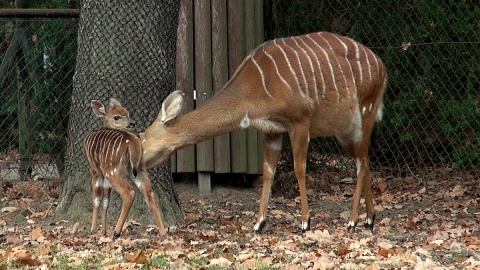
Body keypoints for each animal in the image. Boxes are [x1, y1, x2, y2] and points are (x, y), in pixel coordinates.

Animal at [81, 97, 166, 238]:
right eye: (117, 117)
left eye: (127, 113)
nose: (132, 123)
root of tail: (133, 142)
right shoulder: (104, 177)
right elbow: (106, 200)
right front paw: (103, 231)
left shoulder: (95, 170)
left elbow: (96, 198)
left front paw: (93, 230)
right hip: (139, 169)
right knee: (149, 193)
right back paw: (163, 232)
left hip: (112, 171)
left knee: (129, 192)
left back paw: (116, 231)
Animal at [140, 31, 386, 232]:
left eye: (141, 140)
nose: (134, 166)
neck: (251, 91)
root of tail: (382, 66)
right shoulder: (271, 130)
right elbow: (268, 171)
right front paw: (259, 224)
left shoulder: (300, 120)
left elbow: (299, 168)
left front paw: (305, 222)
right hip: (345, 131)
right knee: (364, 159)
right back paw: (369, 219)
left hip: (365, 112)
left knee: (362, 162)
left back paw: (353, 221)